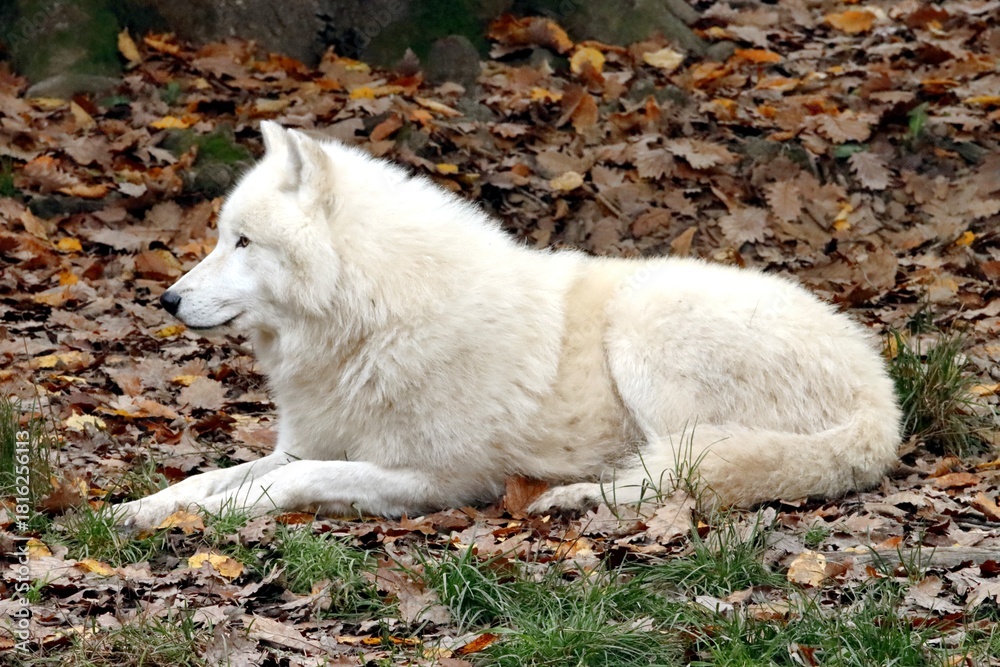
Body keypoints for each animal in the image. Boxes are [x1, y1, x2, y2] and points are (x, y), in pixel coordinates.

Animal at [116, 121, 901, 531]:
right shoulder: (307, 442)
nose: (168, 301)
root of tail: (883, 401)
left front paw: (223, 512)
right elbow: (214, 474)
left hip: (645, 327)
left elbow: (292, 481)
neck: (374, 323)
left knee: (677, 475)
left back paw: (575, 496)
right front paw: (143, 507)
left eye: (243, 242)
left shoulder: (438, 480)